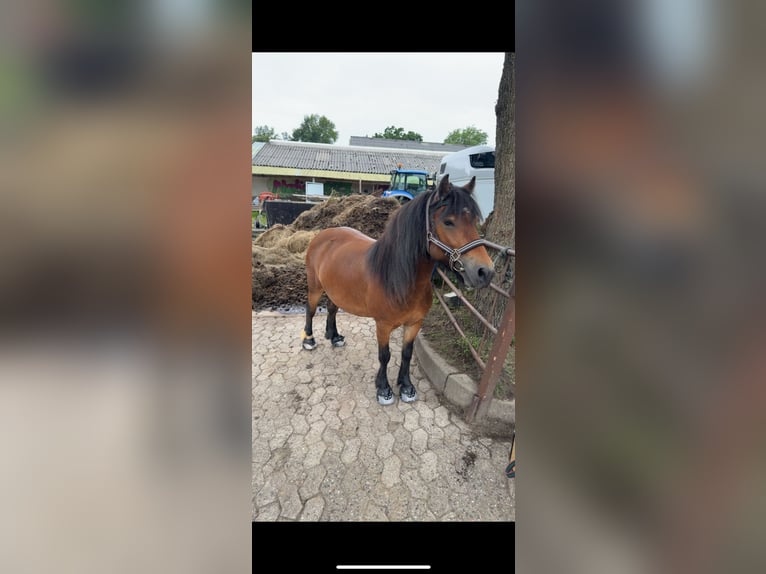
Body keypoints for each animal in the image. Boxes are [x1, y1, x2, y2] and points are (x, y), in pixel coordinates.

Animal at [302, 174, 495, 405]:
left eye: (474, 221)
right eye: (448, 222)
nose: (485, 272)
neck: (400, 278)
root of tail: (322, 235)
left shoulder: (414, 323)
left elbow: (406, 353)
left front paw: (406, 386)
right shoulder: (383, 325)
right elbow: (385, 356)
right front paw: (384, 389)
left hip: (335, 290)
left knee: (332, 309)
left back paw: (334, 337)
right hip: (315, 287)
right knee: (311, 310)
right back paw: (309, 340)